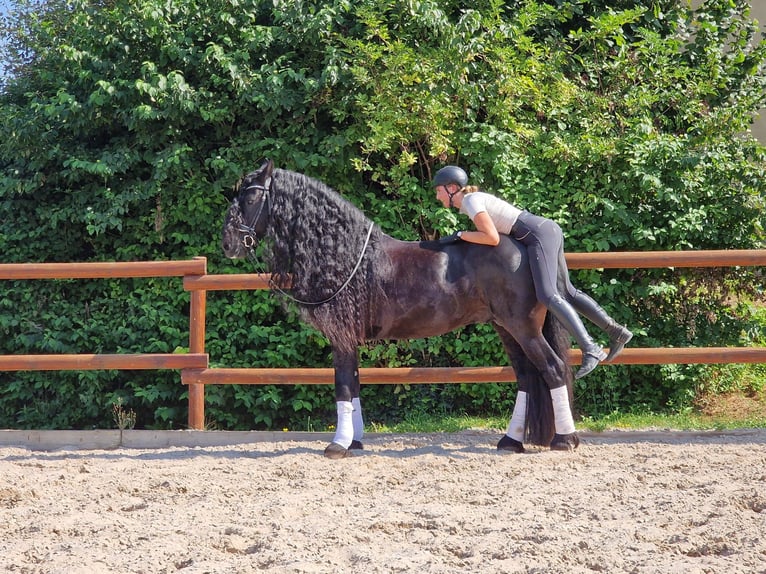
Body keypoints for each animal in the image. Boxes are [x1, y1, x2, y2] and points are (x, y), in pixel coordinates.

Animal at [222, 159, 584, 460]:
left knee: (552, 369)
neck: (346, 254)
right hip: (505, 327)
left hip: (523, 327)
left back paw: (564, 439)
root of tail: (524, 248)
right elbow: (354, 385)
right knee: (526, 377)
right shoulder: (350, 339)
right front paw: (355, 441)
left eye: (251, 198)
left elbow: (342, 385)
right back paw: (511, 441)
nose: (228, 243)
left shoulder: (341, 336)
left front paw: (338, 445)